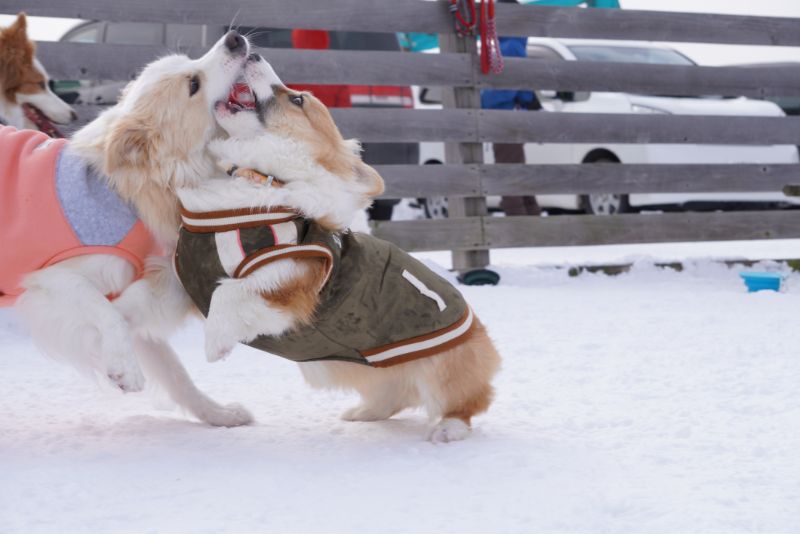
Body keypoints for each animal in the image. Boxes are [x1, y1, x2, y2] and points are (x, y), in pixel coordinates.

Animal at [6, 32, 256, 428]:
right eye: (193, 84)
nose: (233, 39)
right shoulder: (52, 279)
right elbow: (107, 313)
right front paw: (124, 369)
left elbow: (177, 375)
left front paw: (217, 415)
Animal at [175, 55, 500, 444]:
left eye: (297, 99)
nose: (253, 54)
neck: (267, 179)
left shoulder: (293, 276)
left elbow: (229, 292)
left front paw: (215, 345)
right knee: (395, 396)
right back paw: (364, 412)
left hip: (442, 366)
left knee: (467, 403)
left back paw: (449, 428)